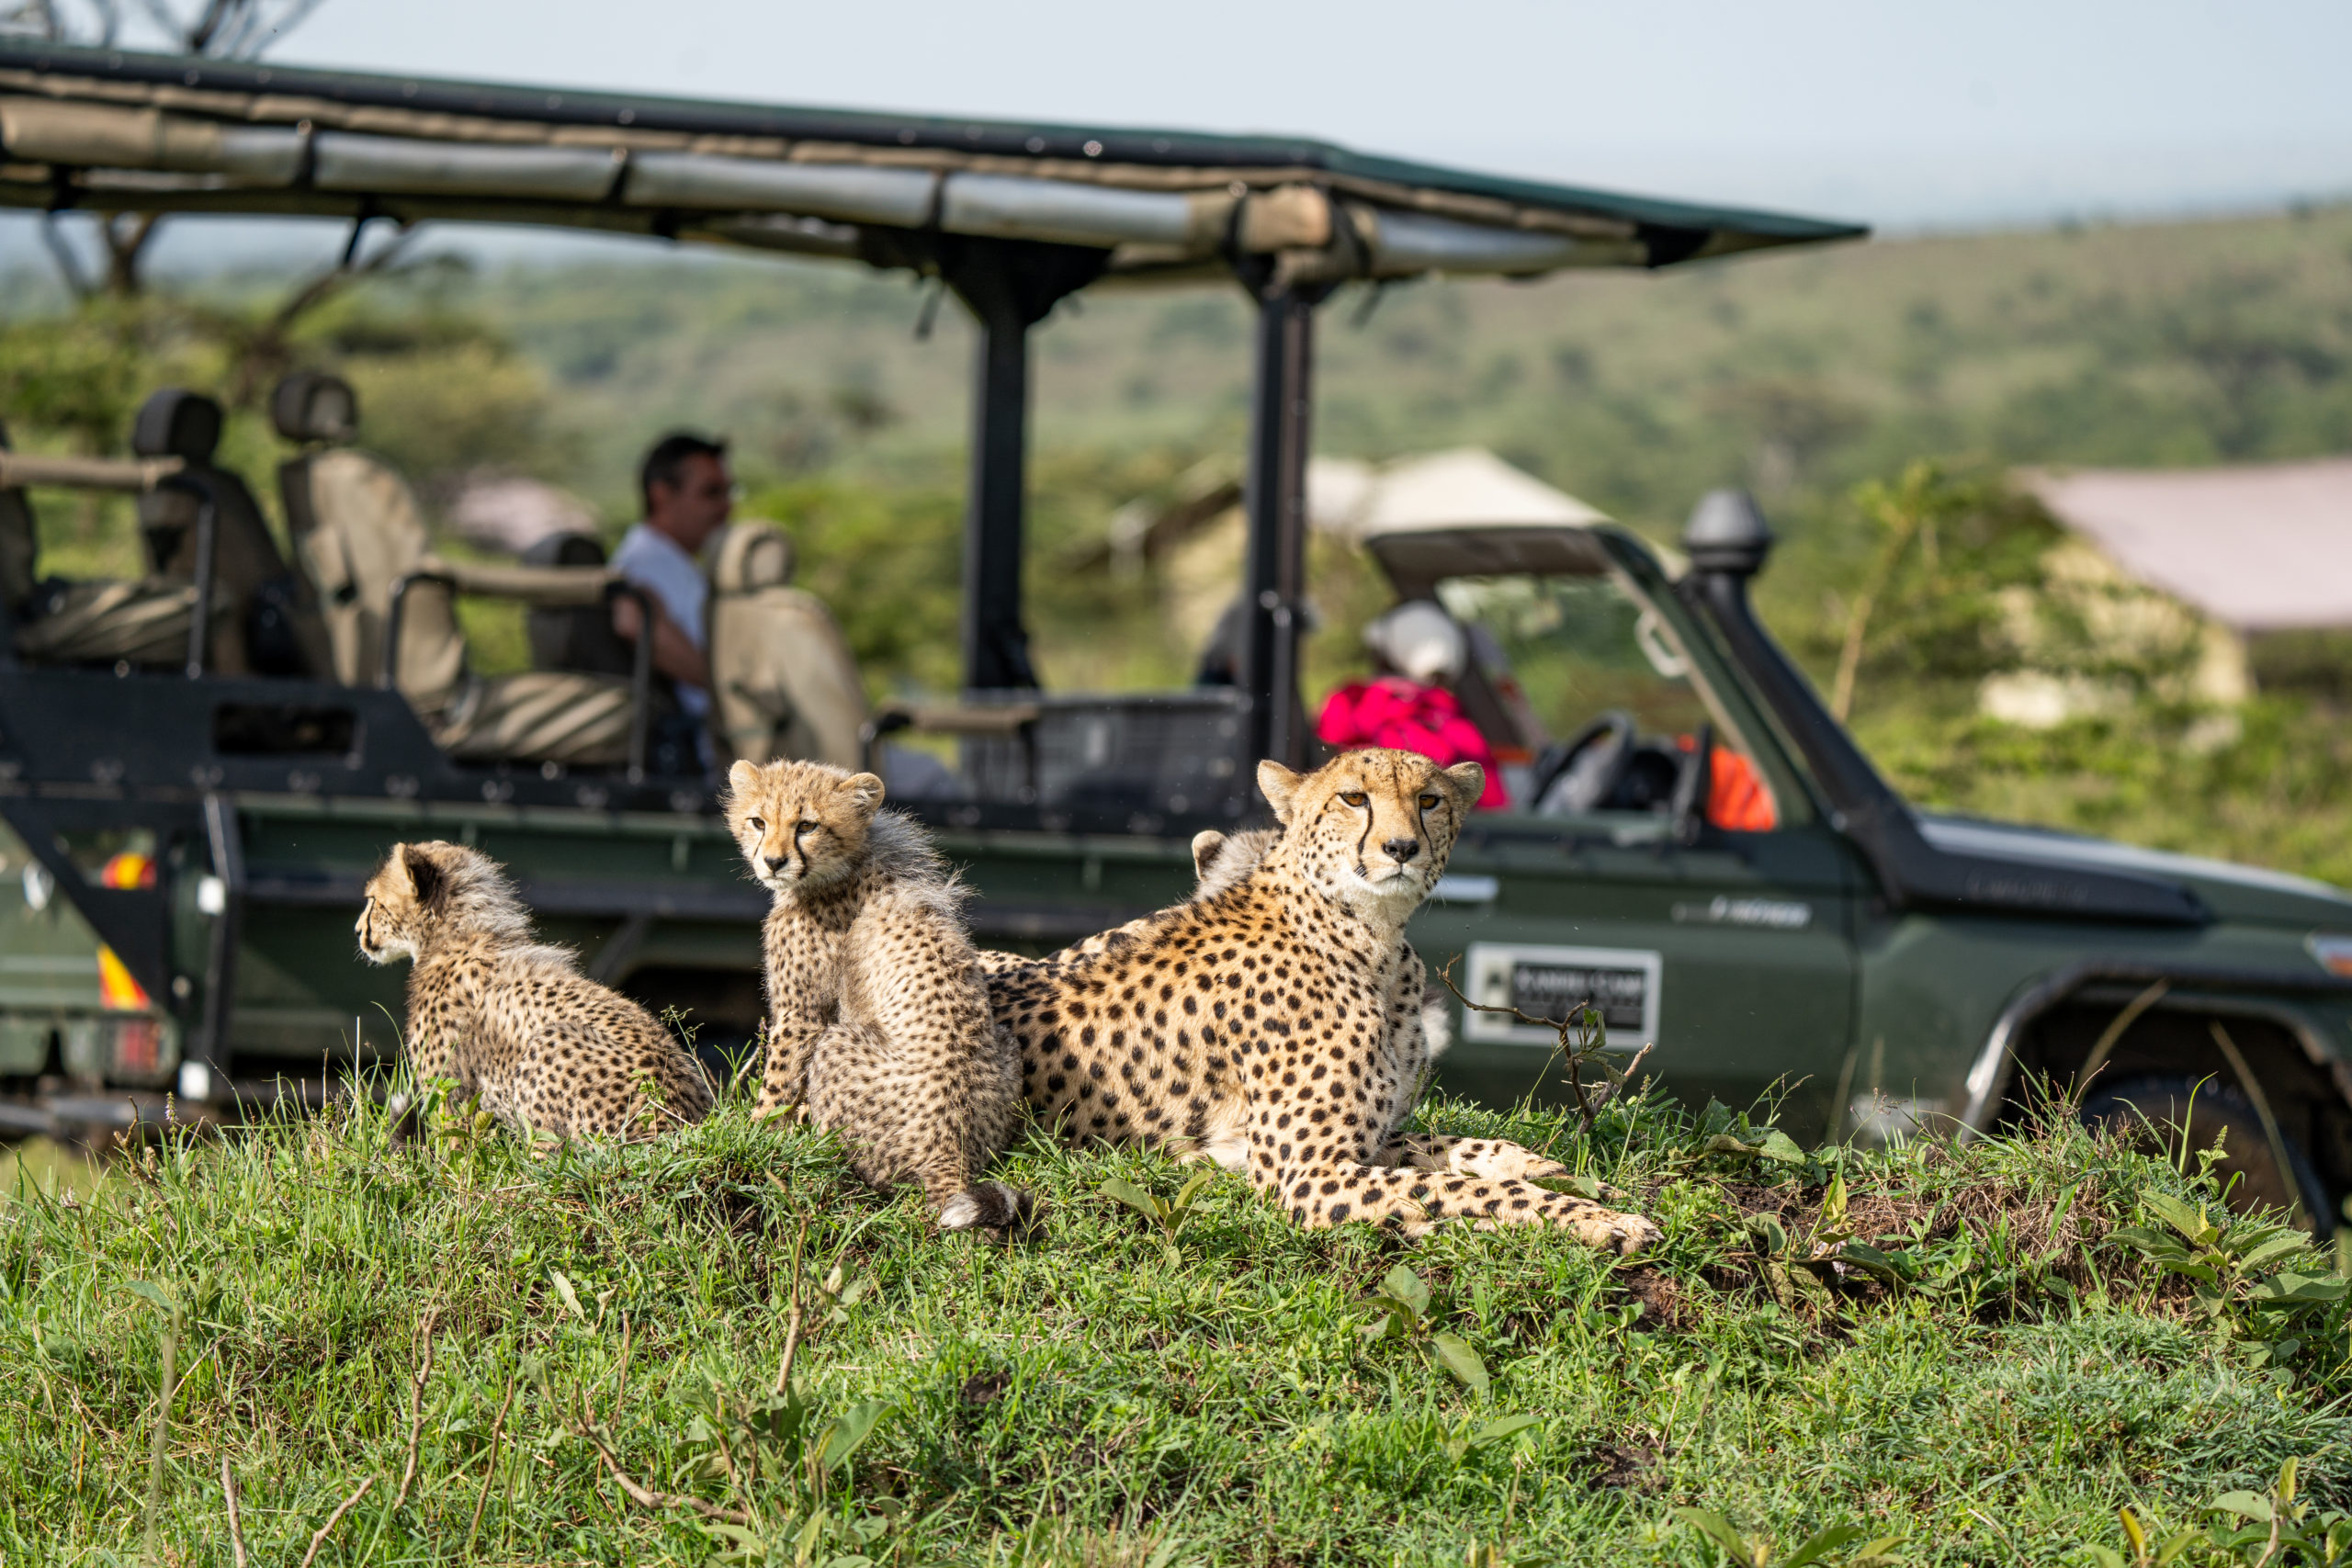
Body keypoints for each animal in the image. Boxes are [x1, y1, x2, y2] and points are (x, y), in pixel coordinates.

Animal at [357, 840, 713, 1141]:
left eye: (374, 902)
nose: (359, 930)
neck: (459, 936)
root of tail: (682, 1122)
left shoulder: (450, 1095)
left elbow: (453, 1156)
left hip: (549, 1046)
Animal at [725, 758, 1030, 1234]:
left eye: (807, 825)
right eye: (758, 821)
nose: (773, 862)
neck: (849, 862)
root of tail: (950, 1150)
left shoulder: (802, 1014)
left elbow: (776, 1082)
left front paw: (756, 1133)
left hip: (837, 1045)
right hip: (1005, 1044)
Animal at [982, 748, 1661, 1249]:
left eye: (1429, 800)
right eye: (1354, 798)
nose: (1401, 848)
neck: (1373, 938)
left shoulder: (1365, 1141)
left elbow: (1445, 1147)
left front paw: (1546, 1168)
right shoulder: (1310, 1172)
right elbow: (1465, 1191)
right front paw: (1601, 1220)